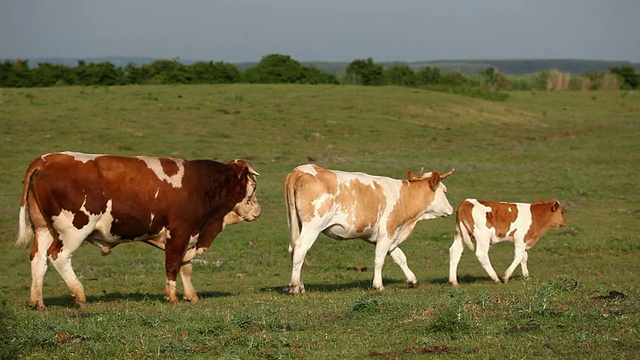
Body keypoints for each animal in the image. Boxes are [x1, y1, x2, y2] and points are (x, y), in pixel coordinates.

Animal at [17, 150, 262, 308]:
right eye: (253, 186)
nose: (258, 211)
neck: (199, 185)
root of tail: (46, 160)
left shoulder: (190, 235)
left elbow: (185, 267)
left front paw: (190, 295)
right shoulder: (179, 233)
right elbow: (173, 264)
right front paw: (172, 296)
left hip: (44, 228)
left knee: (38, 259)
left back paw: (37, 301)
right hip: (74, 228)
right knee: (58, 256)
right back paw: (79, 294)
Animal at [284, 165, 456, 294]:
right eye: (445, 191)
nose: (451, 209)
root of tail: (301, 170)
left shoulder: (390, 236)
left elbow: (400, 257)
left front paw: (412, 280)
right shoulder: (387, 233)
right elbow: (379, 259)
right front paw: (378, 285)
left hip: (297, 225)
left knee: (294, 250)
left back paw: (300, 285)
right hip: (312, 226)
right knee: (300, 249)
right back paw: (295, 286)